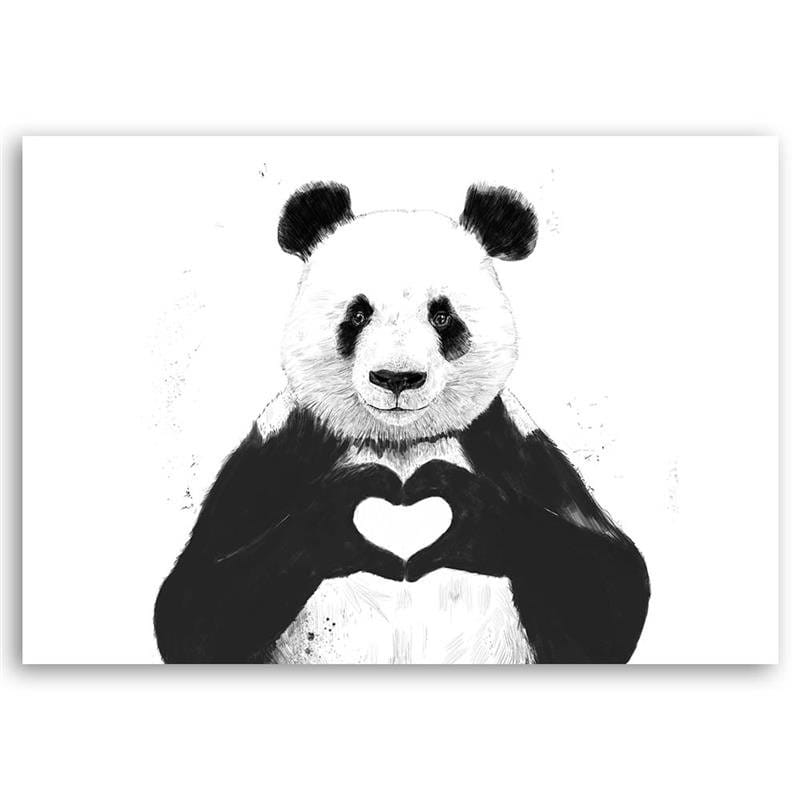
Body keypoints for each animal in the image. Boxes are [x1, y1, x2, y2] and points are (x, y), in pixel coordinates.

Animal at [154, 181, 650, 664]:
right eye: (358, 314)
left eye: (443, 316)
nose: (396, 378)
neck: (400, 444)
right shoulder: (281, 450)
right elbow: (194, 607)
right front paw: (348, 510)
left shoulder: (512, 445)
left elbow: (611, 588)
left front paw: (460, 506)